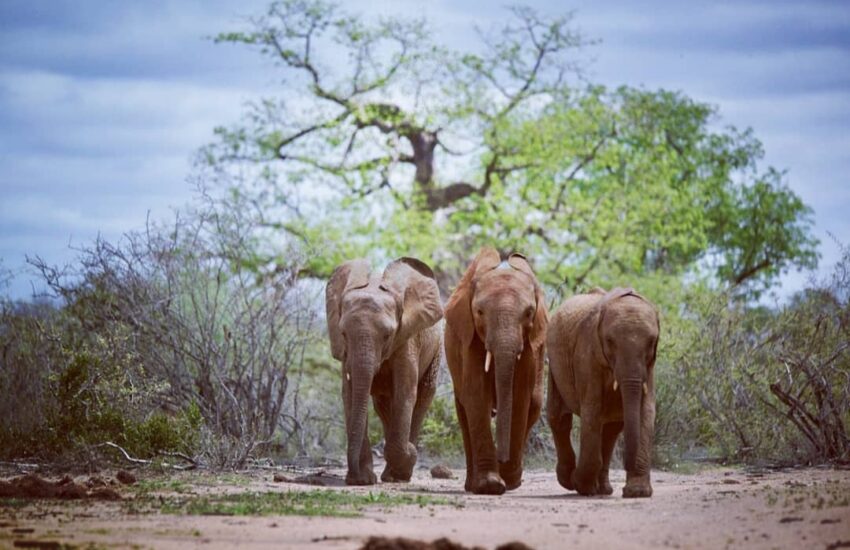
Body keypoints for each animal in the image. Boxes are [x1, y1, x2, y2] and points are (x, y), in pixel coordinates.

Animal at [326, 257, 443, 486]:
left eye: (388, 335)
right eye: (343, 333)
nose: (352, 477)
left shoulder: (407, 339)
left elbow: (405, 393)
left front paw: (407, 458)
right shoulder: (345, 353)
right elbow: (350, 395)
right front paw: (363, 481)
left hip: (436, 350)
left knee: (423, 397)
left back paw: (398, 474)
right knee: (382, 405)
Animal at [444, 248, 548, 495]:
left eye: (529, 313)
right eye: (479, 312)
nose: (502, 459)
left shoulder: (529, 347)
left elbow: (520, 397)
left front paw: (508, 479)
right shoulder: (469, 338)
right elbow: (476, 395)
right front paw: (490, 485)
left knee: (535, 403)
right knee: (463, 410)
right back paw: (472, 485)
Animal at [546, 287, 660, 498]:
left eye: (651, 342)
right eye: (609, 341)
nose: (626, 464)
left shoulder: (650, 365)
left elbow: (646, 411)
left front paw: (637, 493)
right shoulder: (587, 354)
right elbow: (592, 410)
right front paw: (581, 486)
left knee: (611, 430)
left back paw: (603, 490)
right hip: (553, 365)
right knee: (559, 418)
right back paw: (571, 481)